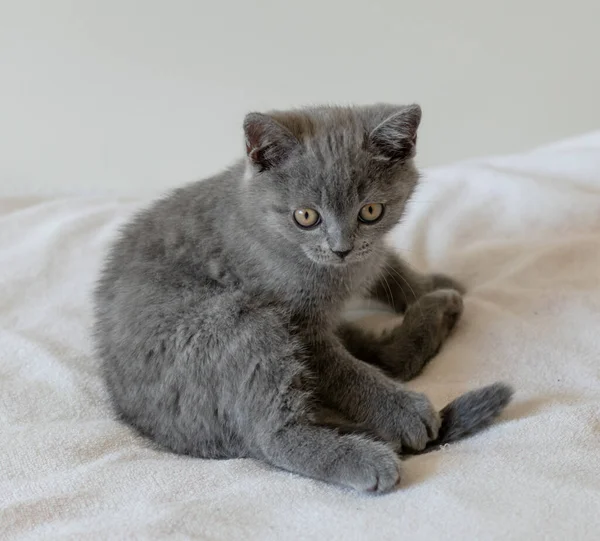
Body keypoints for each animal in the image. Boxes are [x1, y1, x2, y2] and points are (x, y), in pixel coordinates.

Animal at [94, 103, 510, 492]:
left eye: (370, 211)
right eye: (306, 216)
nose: (341, 248)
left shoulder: (367, 256)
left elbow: (385, 263)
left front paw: (430, 283)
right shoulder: (299, 324)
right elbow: (343, 371)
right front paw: (400, 411)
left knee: (392, 359)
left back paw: (440, 308)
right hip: (241, 323)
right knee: (272, 437)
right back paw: (367, 457)